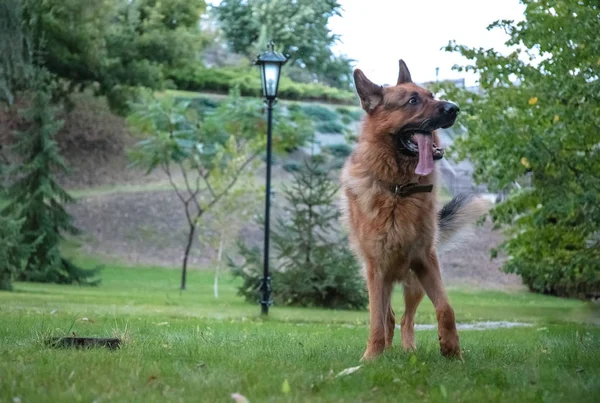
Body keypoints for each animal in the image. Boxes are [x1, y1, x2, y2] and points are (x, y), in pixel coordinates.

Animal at [342, 59, 488, 360]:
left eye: (432, 95)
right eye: (412, 101)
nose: (454, 108)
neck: (400, 189)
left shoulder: (425, 261)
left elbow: (446, 308)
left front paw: (453, 351)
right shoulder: (377, 271)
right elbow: (376, 321)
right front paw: (370, 359)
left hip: (413, 285)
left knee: (406, 319)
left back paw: (409, 349)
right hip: (381, 280)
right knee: (388, 316)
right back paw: (386, 350)